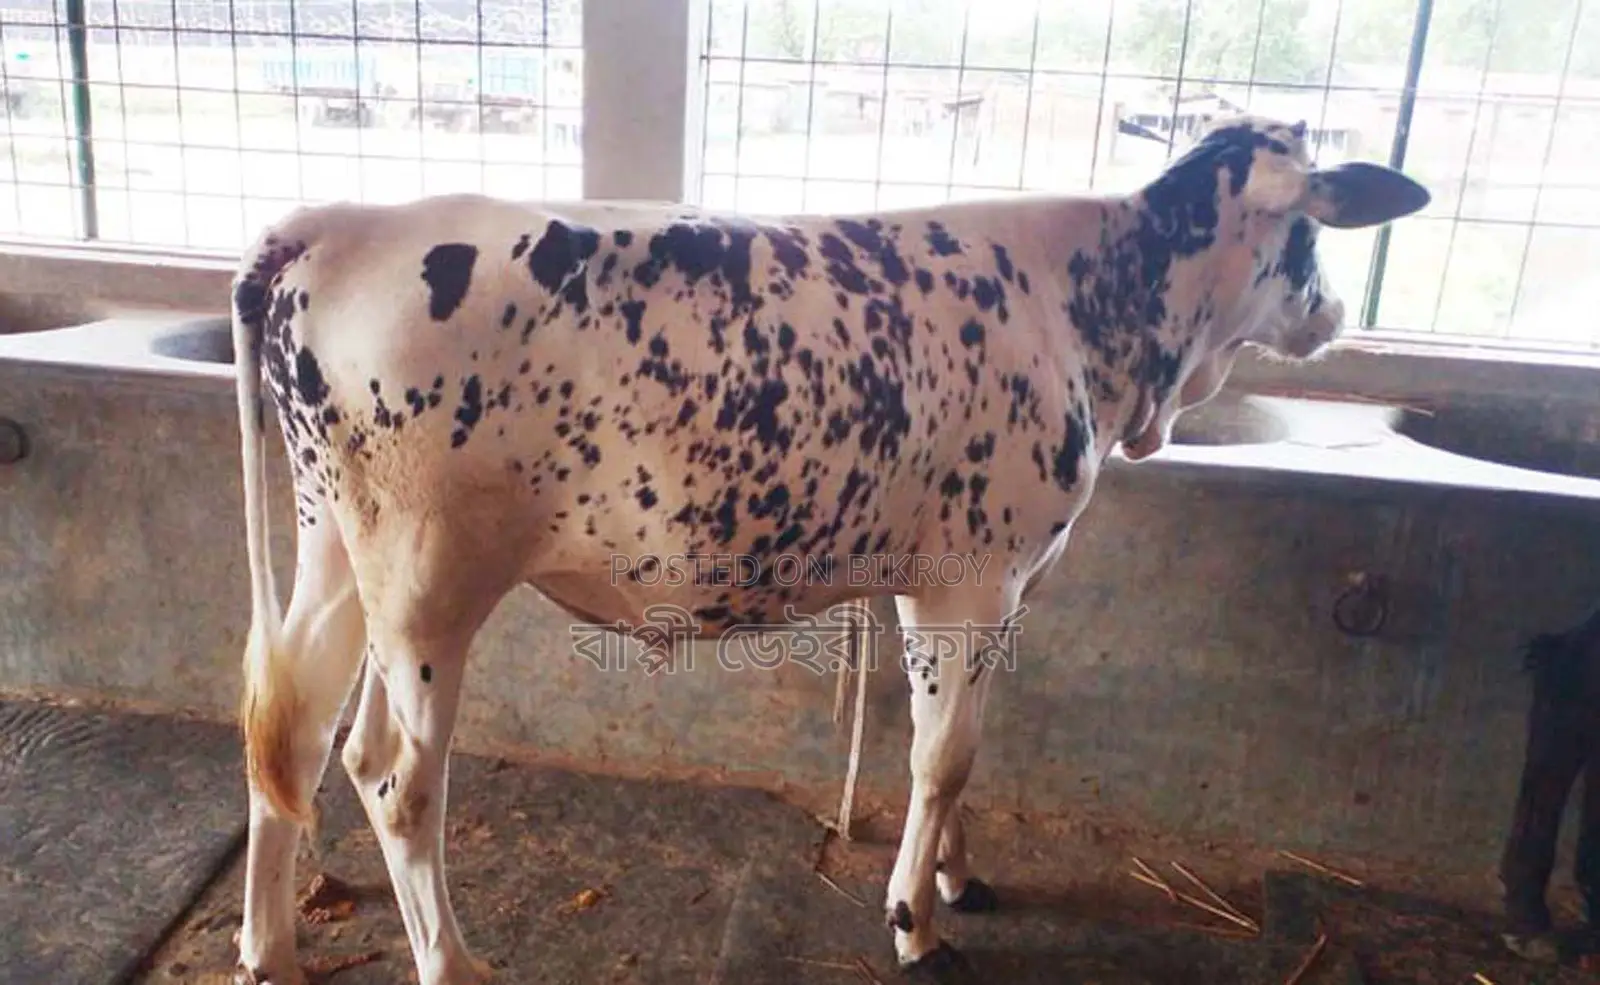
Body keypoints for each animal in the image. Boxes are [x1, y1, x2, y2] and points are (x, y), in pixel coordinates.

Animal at [226, 114, 1429, 984]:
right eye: (1312, 233)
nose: (1334, 316)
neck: (1101, 315)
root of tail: (340, 223)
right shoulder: (967, 578)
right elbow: (942, 753)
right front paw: (914, 923)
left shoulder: (996, 582)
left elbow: (966, 739)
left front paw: (957, 877)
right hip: (426, 580)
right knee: (393, 776)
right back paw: (453, 962)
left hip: (337, 554)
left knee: (292, 731)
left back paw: (270, 947)